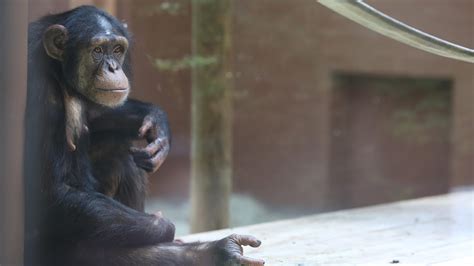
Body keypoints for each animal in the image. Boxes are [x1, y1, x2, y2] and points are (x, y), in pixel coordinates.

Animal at [24, 6, 264, 266]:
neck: (57, 70)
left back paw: (217, 252)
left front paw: (157, 123)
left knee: (119, 155)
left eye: (117, 50)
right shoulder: (37, 87)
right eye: (97, 50)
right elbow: (55, 190)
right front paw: (163, 224)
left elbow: (97, 114)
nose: (113, 67)